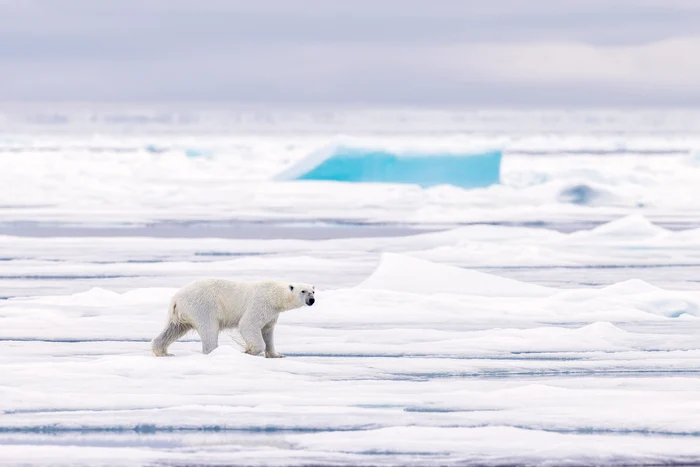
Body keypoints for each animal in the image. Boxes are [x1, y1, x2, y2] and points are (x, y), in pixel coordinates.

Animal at [154, 278, 318, 358]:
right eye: (303, 291)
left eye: (313, 291)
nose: (312, 300)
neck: (274, 295)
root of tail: (176, 299)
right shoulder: (260, 304)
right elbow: (248, 324)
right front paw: (248, 351)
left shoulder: (272, 314)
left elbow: (268, 332)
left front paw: (277, 355)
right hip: (203, 306)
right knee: (209, 329)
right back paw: (216, 351)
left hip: (181, 314)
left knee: (173, 329)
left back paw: (163, 351)